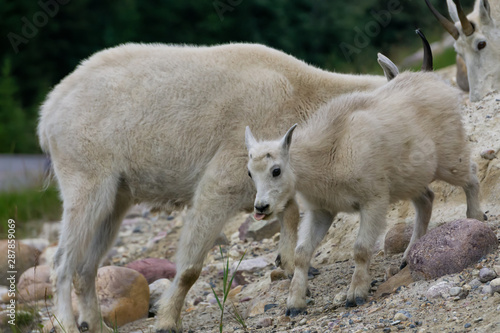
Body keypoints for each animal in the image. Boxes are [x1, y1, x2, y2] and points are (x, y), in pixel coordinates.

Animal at [39, 42, 390, 332]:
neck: (303, 94)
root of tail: (49, 112)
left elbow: (288, 211)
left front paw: (288, 265)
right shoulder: (229, 172)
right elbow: (192, 263)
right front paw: (167, 321)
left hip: (117, 196)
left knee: (86, 266)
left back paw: (96, 325)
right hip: (86, 176)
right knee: (61, 262)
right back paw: (69, 325)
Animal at [245, 31, 484, 314]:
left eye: (276, 170)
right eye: (250, 173)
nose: (261, 208)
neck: (328, 153)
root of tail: (434, 81)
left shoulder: (373, 200)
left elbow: (360, 249)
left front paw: (356, 294)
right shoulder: (321, 210)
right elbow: (302, 253)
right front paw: (295, 303)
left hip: (450, 158)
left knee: (470, 175)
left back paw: (476, 217)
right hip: (409, 178)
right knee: (426, 200)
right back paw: (408, 256)